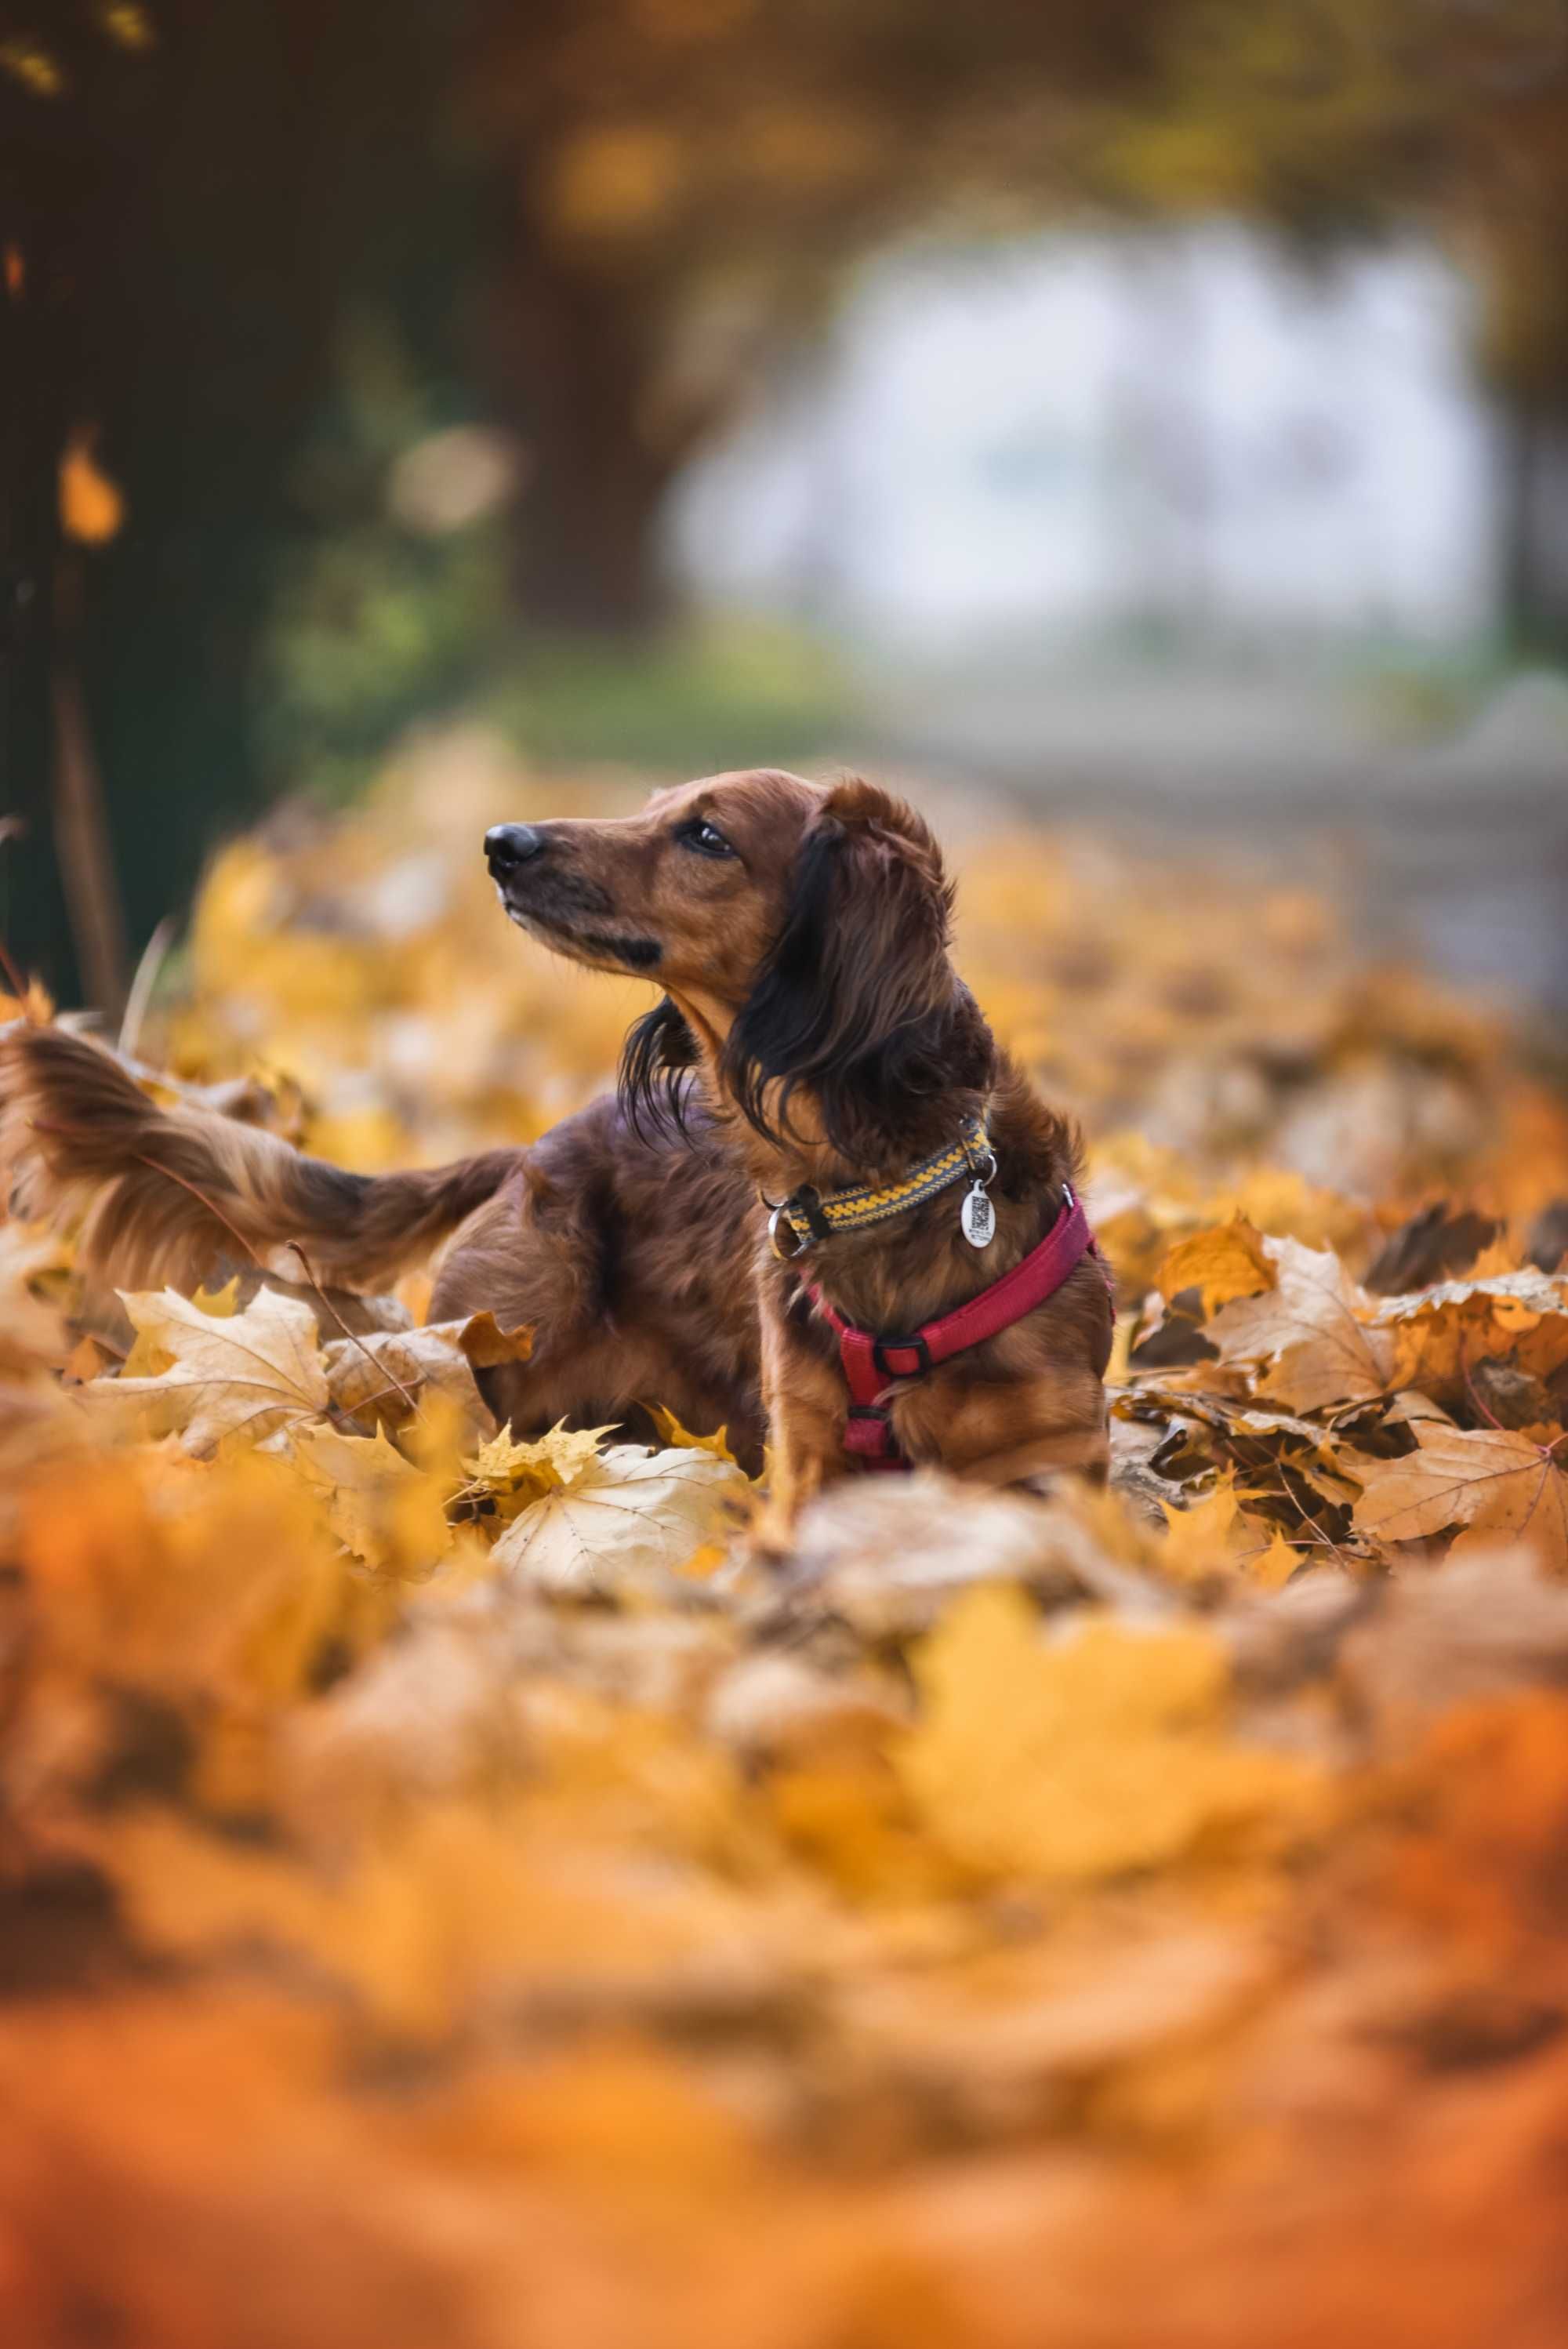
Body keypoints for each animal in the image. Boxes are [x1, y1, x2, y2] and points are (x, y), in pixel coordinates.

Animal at [0, 765, 1112, 1503]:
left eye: (706, 836)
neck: (877, 1178)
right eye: (653, 805)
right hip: (477, 1365)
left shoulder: (1058, 1461)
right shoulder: (805, 1454)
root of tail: (530, 1147)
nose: (502, 842)